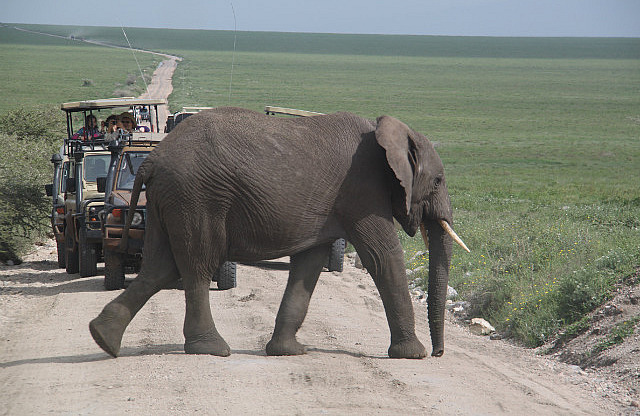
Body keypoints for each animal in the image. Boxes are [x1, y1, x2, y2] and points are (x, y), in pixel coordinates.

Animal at [89, 107, 469, 359]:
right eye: (438, 181)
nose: (439, 353)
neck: (386, 132)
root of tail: (153, 159)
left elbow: (309, 265)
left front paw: (287, 352)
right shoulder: (363, 192)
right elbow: (382, 256)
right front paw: (412, 355)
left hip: (168, 201)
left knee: (159, 267)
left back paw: (103, 339)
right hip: (197, 197)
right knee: (196, 265)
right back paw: (212, 349)